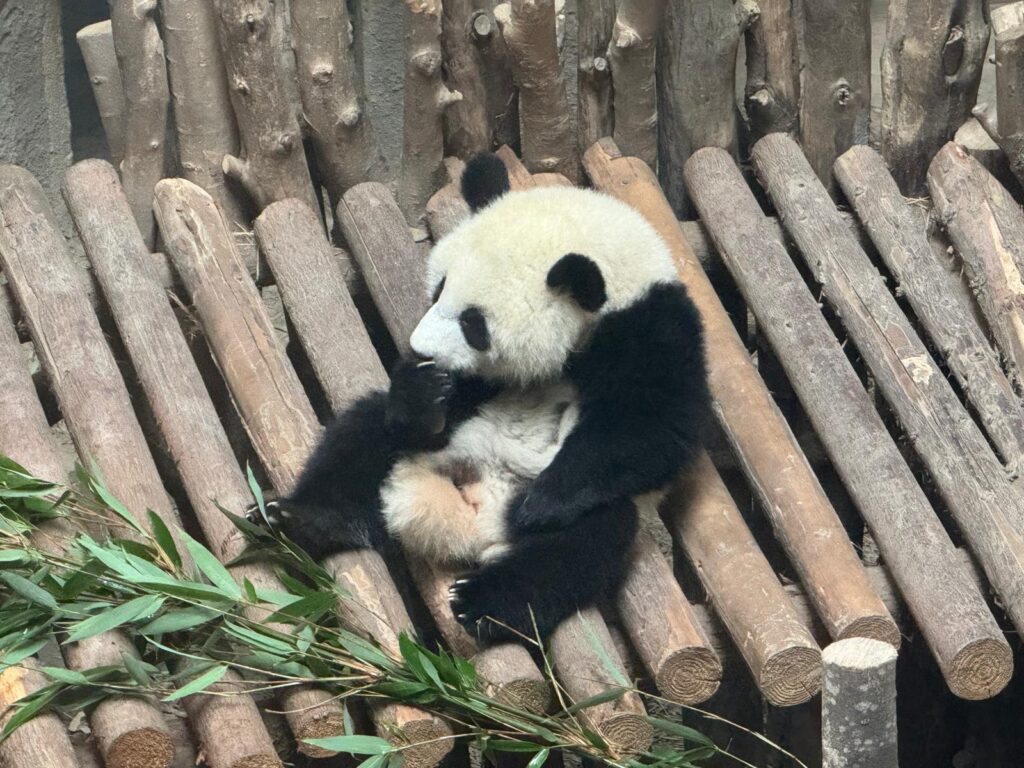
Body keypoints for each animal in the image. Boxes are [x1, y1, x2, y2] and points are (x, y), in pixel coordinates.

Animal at [265, 153, 709, 643]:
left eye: (473, 323)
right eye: (438, 288)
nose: (419, 348)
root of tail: (473, 517)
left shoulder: (654, 334)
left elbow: (654, 431)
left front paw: (540, 502)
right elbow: (435, 401)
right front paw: (422, 391)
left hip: (599, 513)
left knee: (577, 547)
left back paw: (479, 602)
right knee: (362, 433)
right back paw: (298, 518)